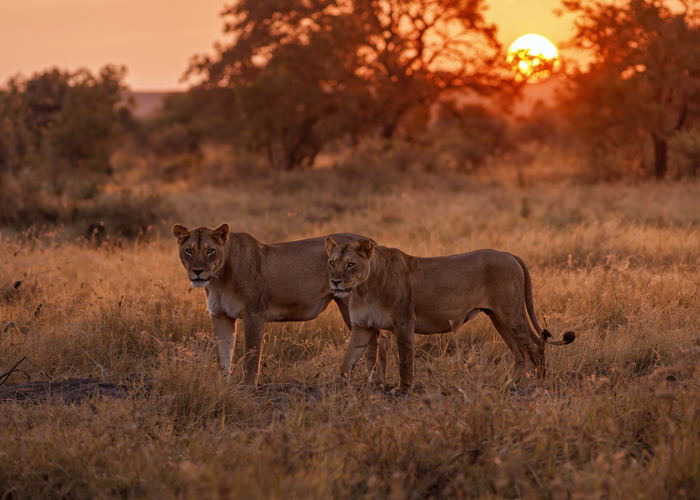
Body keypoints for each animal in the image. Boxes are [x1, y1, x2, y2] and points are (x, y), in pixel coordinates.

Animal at [173, 223, 374, 388]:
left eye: (210, 251)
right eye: (189, 251)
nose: (197, 271)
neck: (218, 280)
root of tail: (370, 243)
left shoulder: (254, 312)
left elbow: (251, 354)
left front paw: (247, 386)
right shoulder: (220, 315)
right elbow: (223, 355)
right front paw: (222, 386)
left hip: (351, 306)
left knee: (373, 340)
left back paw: (372, 383)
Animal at [324, 237, 575, 391]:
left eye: (350, 264)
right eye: (331, 262)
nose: (334, 282)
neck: (364, 288)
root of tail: (509, 253)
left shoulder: (404, 322)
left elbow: (405, 360)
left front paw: (403, 390)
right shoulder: (362, 328)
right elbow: (346, 361)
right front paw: (339, 388)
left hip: (511, 314)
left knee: (536, 346)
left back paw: (540, 387)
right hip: (498, 317)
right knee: (520, 352)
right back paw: (506, 386)